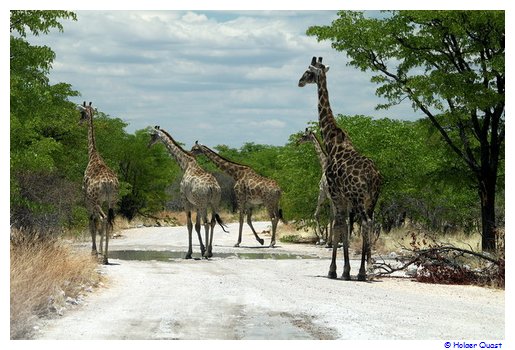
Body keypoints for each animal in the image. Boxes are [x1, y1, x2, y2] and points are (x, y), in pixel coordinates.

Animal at [77, 101, 119, 266]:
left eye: (82, 114)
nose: (78, 122)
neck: (93, 155)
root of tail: (108, 183)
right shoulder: (100, 201)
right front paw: (98, 251)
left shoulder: (87, 200)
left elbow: (91, 223)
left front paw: (94, 252)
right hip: (111, 200)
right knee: (107, 220)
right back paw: (105, 257)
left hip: (96, 200)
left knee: (102, 219)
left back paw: (103, 257)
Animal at [149, 126, 230, 258]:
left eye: (152, 135)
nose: (148, 144)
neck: (185, 164)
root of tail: (213, 187)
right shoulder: (196, 203)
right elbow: (196, 226)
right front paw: (201, 249)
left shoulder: (185, 200)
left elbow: (189, 225)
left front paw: (189, 253)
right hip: (214, 203)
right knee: (212, 222)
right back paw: (209, 251)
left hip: (203, 204)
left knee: (206, 223)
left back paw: (206, 253)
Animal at [298, 57, 382, 282]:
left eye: (308, 72)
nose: (299, 82)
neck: (332, 142)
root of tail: (373, 177)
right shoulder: (342, 198)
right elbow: (343, 227)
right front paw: (344, 269)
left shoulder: (336, 194)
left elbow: (339, 225)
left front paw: (336, 270)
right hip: (372, 199)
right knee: (370, 223)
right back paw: (367, 267)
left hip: (359, 198)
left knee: (365, 223)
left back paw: (362, 272)